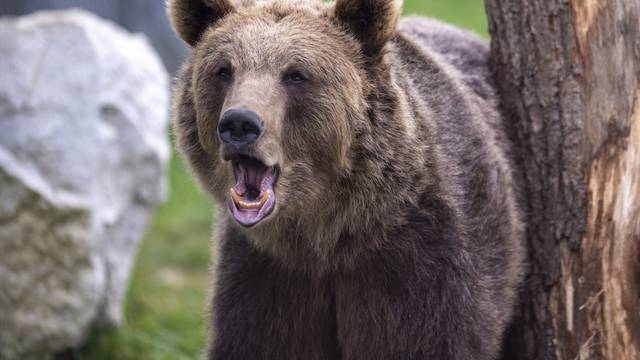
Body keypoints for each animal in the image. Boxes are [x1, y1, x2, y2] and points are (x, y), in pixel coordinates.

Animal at [168, 0, 524, 358]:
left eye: (296, 74)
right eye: (223, 70)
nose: (240, 123)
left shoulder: (422, 256)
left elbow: (427, 339)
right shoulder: (267, 271)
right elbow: (260, 340)